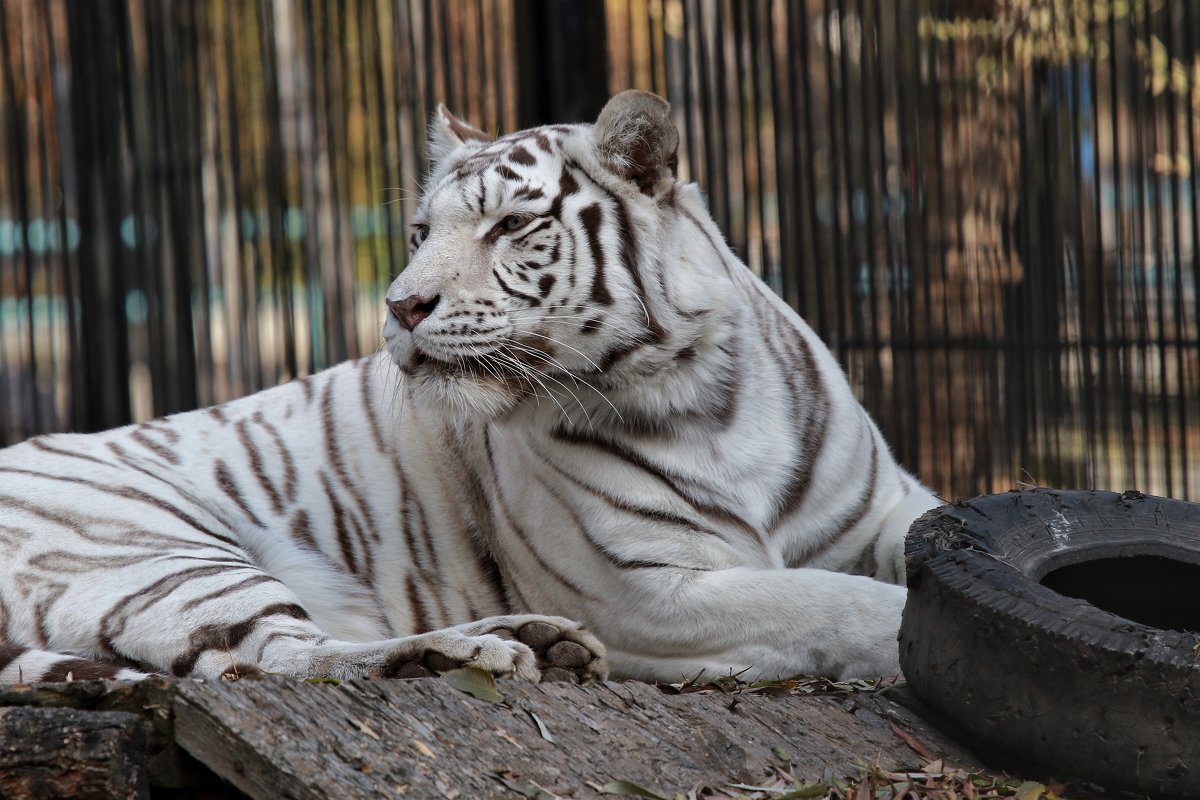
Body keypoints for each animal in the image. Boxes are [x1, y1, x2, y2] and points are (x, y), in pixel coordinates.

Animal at [0, 90, 936, 686]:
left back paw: (534, 643)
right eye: (421, 231)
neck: (707, 394)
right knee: (272, 662)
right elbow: (848, 607)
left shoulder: (887, 509)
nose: (399, 305)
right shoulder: (649, 592)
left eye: (511, 224)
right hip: (160, 554)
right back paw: (461, 656)